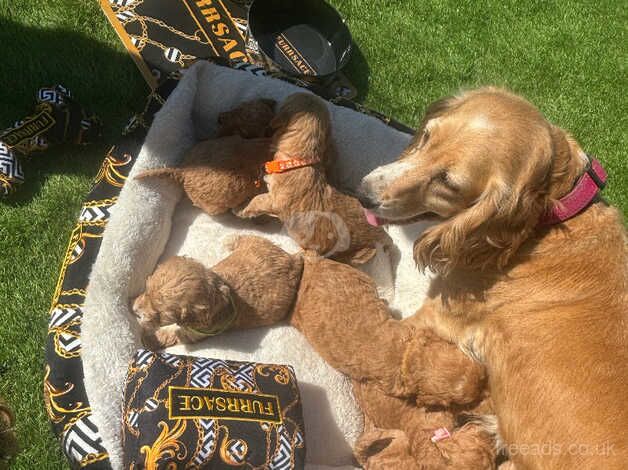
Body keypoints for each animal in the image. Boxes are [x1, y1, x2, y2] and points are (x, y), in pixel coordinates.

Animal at [134, 235, 306, 348]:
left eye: (160, 314)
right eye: (146, 290)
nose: (135, 310)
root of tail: (292, 258)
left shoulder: (195, 332)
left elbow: (173, 333)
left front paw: (150, 339)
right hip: (259, 244)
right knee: (250, 237)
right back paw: (231, 239)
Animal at [237, 93, 390, 266]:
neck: (300, 160)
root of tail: (382, 233)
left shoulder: (273, 200)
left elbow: (256, 201)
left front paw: (241, 209)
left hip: (359, 254)